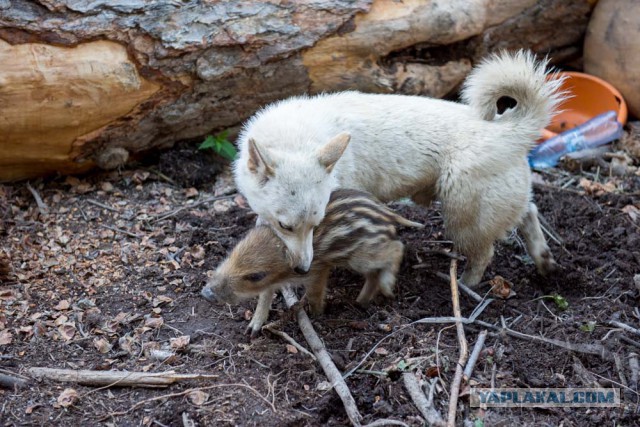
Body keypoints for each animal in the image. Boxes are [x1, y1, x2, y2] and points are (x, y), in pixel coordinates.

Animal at [232, 51, 564, 290]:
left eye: (317, 223)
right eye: (286, 226)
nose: (302, 268)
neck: (298, 139)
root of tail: (508, 130)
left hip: (462, 217)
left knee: (484, 255)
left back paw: (464, 286)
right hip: (501, 202)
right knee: (530, 212)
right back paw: (545, 262)